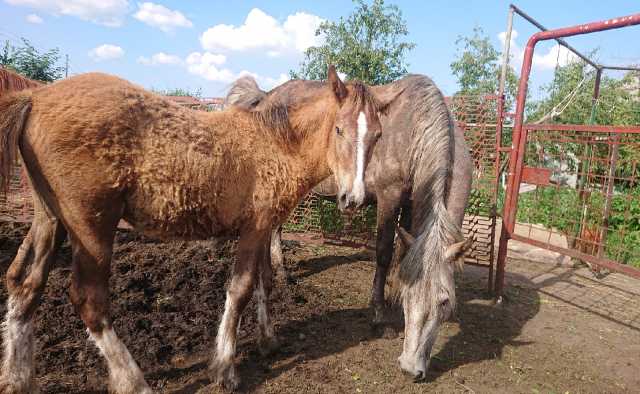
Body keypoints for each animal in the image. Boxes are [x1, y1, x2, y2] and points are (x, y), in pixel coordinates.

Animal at [0, 66, 400, 392]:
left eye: (378, 135)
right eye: (339, 129)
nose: (353, 199)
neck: (274, 143)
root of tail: (35, 97)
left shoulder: (265, 228)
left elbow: (264, 282)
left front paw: (268, 341)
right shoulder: (255, 228)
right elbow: (240, 290)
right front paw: (224, 369)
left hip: (51, 218)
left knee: (24, 283)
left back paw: (18, 377)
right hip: (92, 226)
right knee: (88, 300)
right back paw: (134, 381)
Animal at [225, 74, 470, 382]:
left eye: (444, 301)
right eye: (409, 299)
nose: (410, 367)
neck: (416, 131)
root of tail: (266, 96)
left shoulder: (413, 203)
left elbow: (403, 252)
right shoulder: (389, 196)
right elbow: (384, 252)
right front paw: (379, 316)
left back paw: (284, 273)